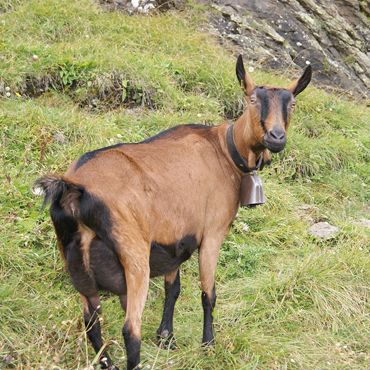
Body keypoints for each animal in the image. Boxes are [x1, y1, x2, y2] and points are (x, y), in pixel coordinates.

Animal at [35, 55, 312, 370]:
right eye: (252, 99)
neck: (224, 151)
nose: (276, 137)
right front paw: (208, 345)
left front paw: (166, 337)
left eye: (292, 103)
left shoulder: (174, 241)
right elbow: (208, 293)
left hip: (77, 263)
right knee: (130, 330)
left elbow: (173, 288)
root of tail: (73, 189)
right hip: (134, 256)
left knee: (91, 322)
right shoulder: (213, 232)